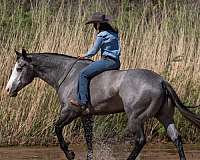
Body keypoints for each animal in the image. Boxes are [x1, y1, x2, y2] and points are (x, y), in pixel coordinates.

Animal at [5, 49, 199, 160]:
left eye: (19, 68)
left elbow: (57, 129)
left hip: (136, 118)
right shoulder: (85, 115)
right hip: (164, 116)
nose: (8, 90)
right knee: (176, 138)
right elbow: (88, 140)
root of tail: (161, 81)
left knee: (140, 141)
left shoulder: (70, 112)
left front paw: (70, 154)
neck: (67, 75)